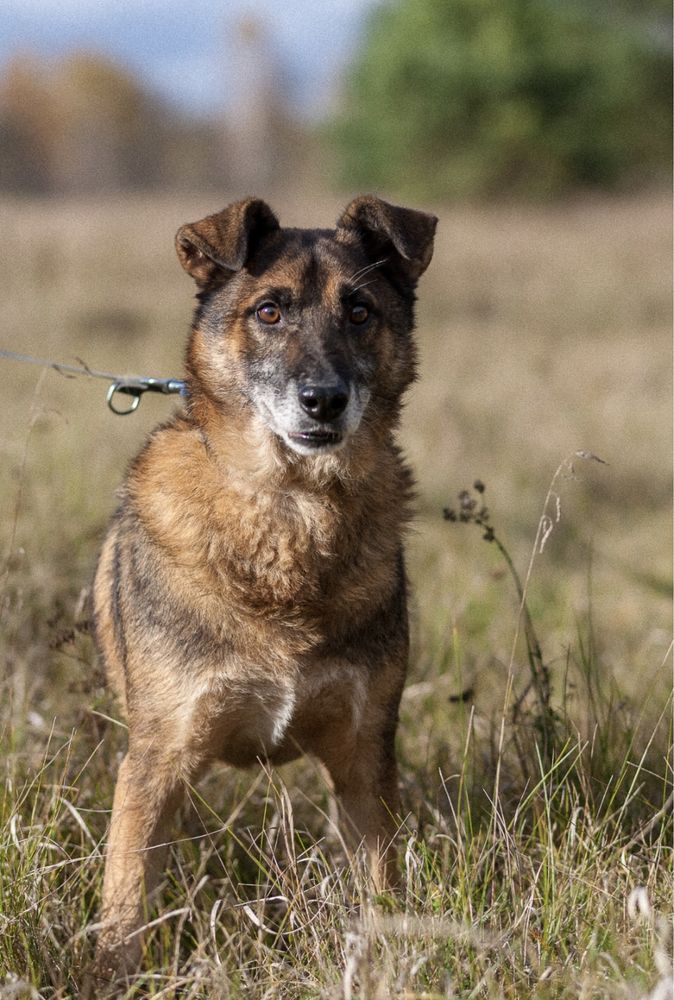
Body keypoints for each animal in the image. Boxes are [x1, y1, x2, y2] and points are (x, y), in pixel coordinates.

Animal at [89, 191, 436, 980]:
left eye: (360, 311)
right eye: (269, 311)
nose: (323, 400)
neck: (290, 510)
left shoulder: (364, 760)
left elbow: (381, 886)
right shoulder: (158, 759)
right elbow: (124, 900)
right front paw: (112, 975)